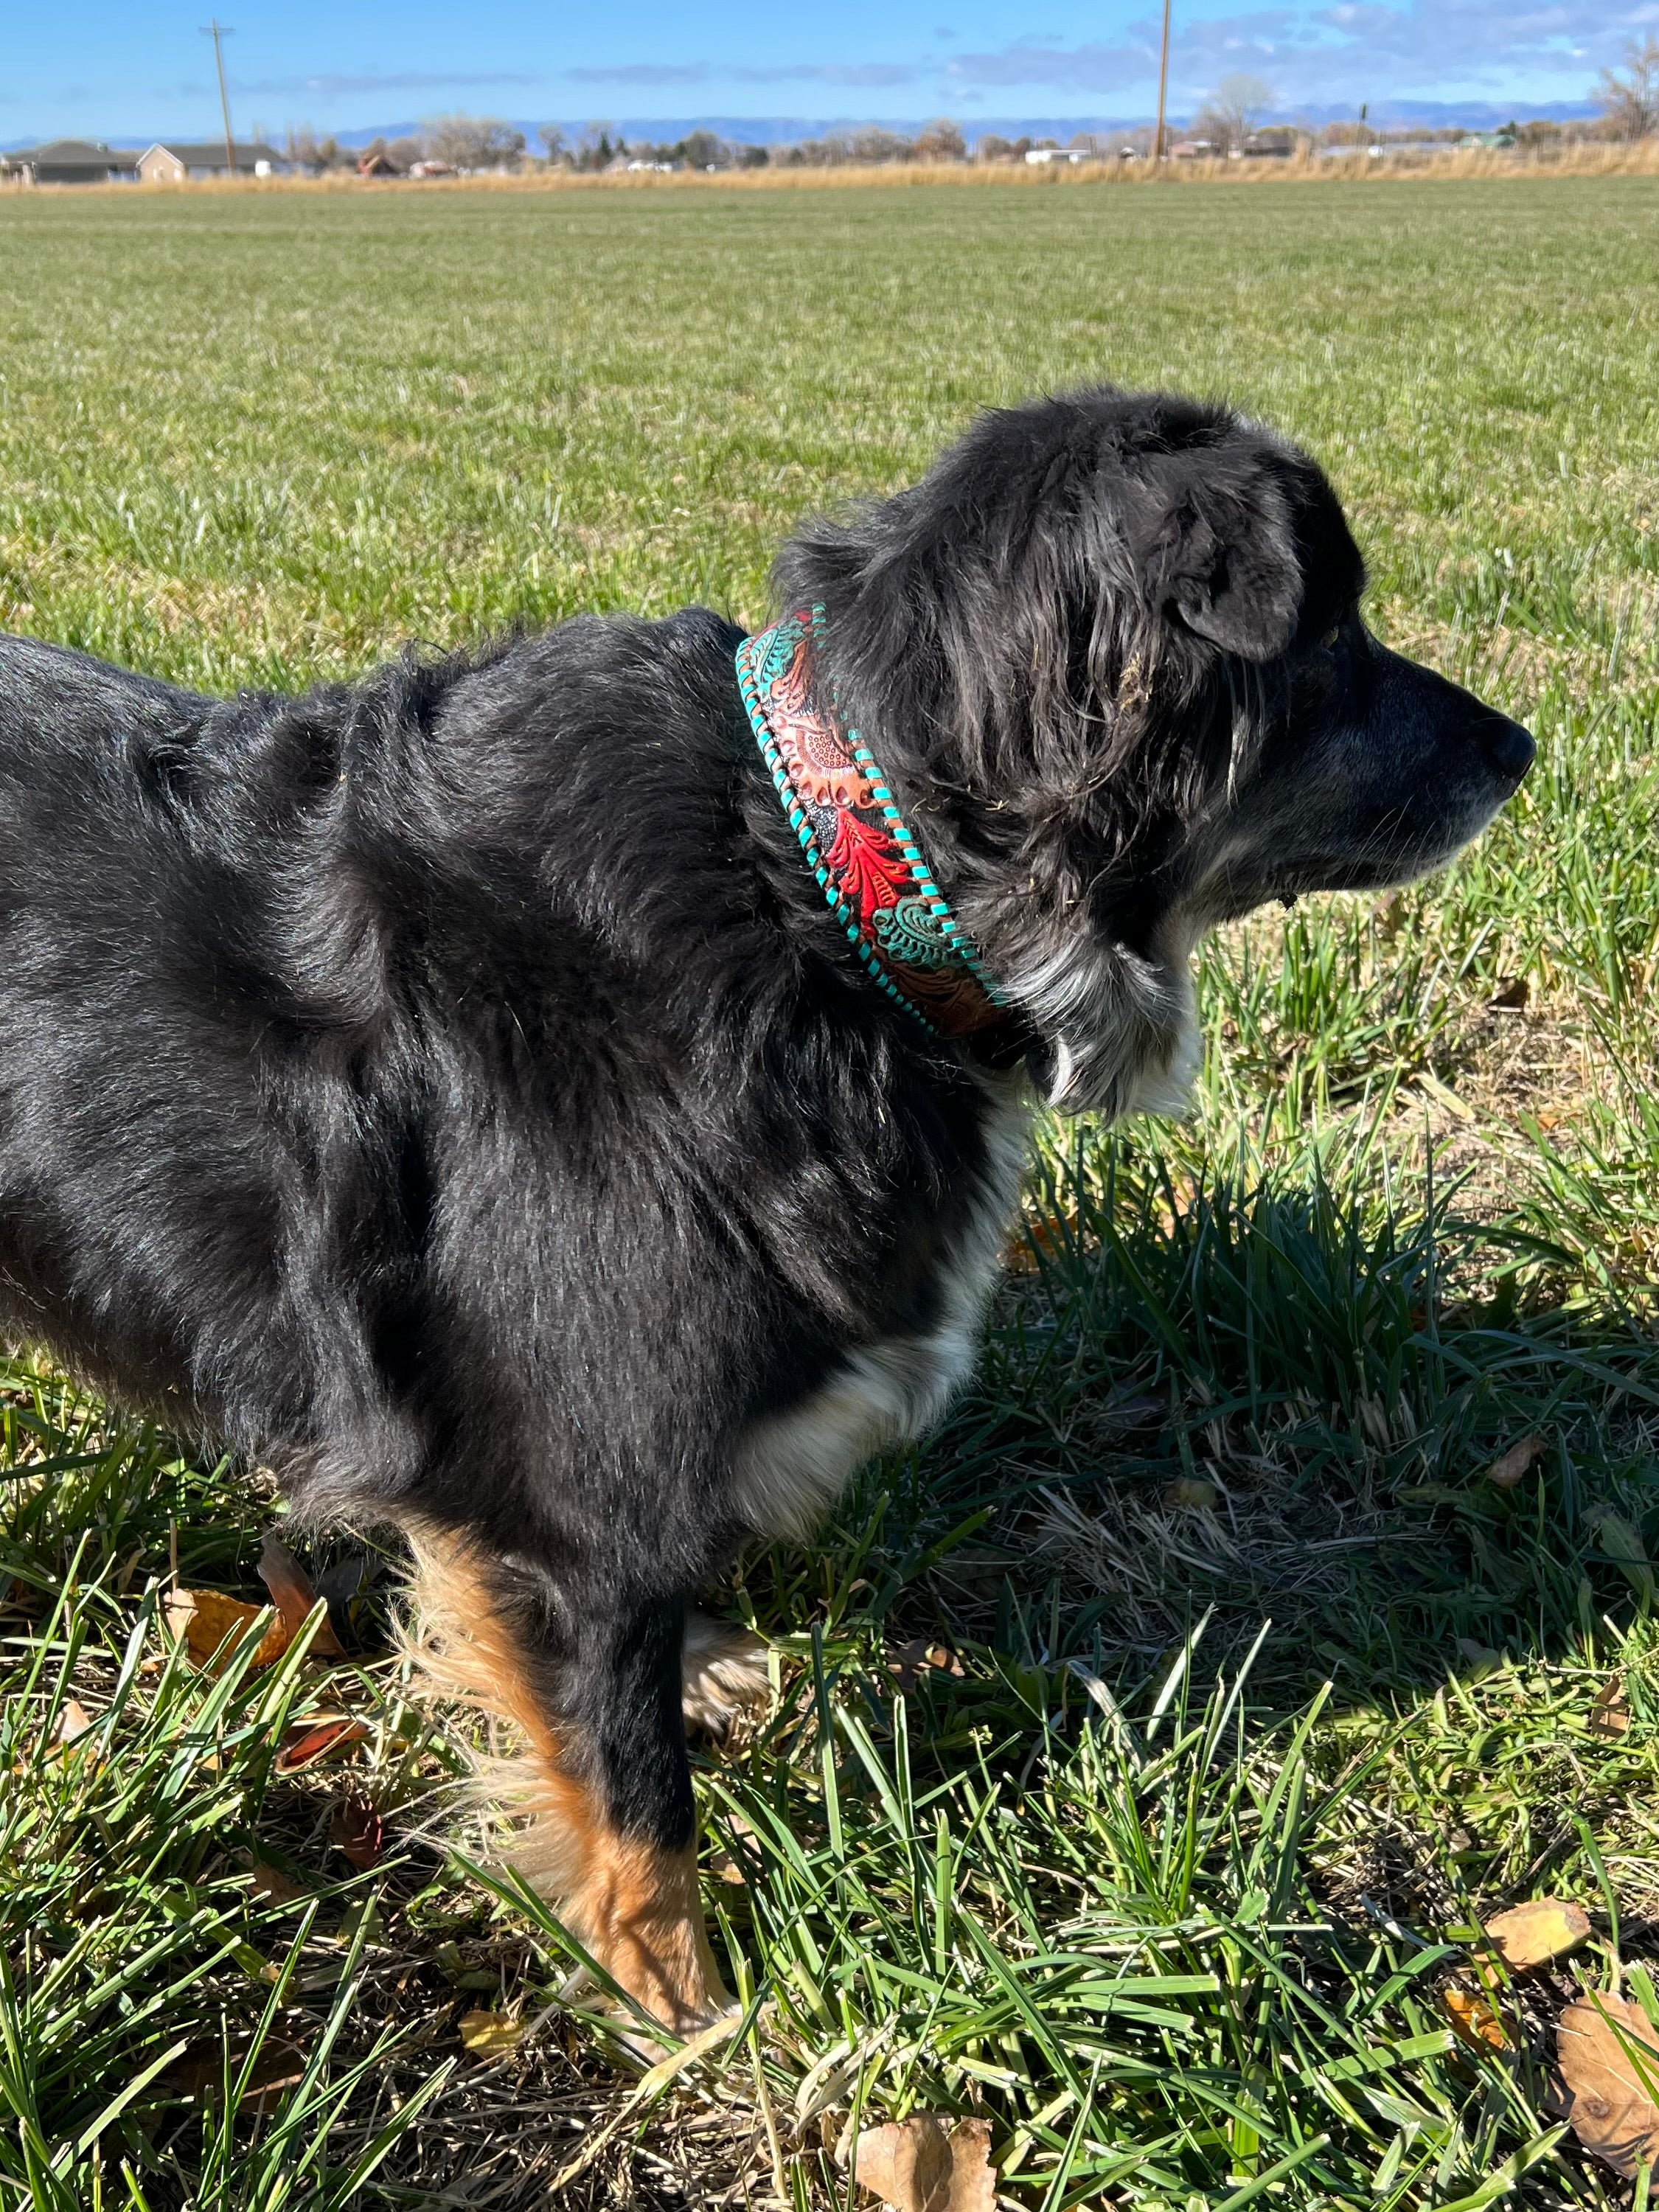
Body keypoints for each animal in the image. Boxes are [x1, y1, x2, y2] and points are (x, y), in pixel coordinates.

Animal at [0, 385, 1531, 2026]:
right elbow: (632, 1793)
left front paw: (705, 1673)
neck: (826, 881)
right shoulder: (571, 1507)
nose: (1526, 747)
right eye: (1334, 636)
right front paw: (682, 2008)